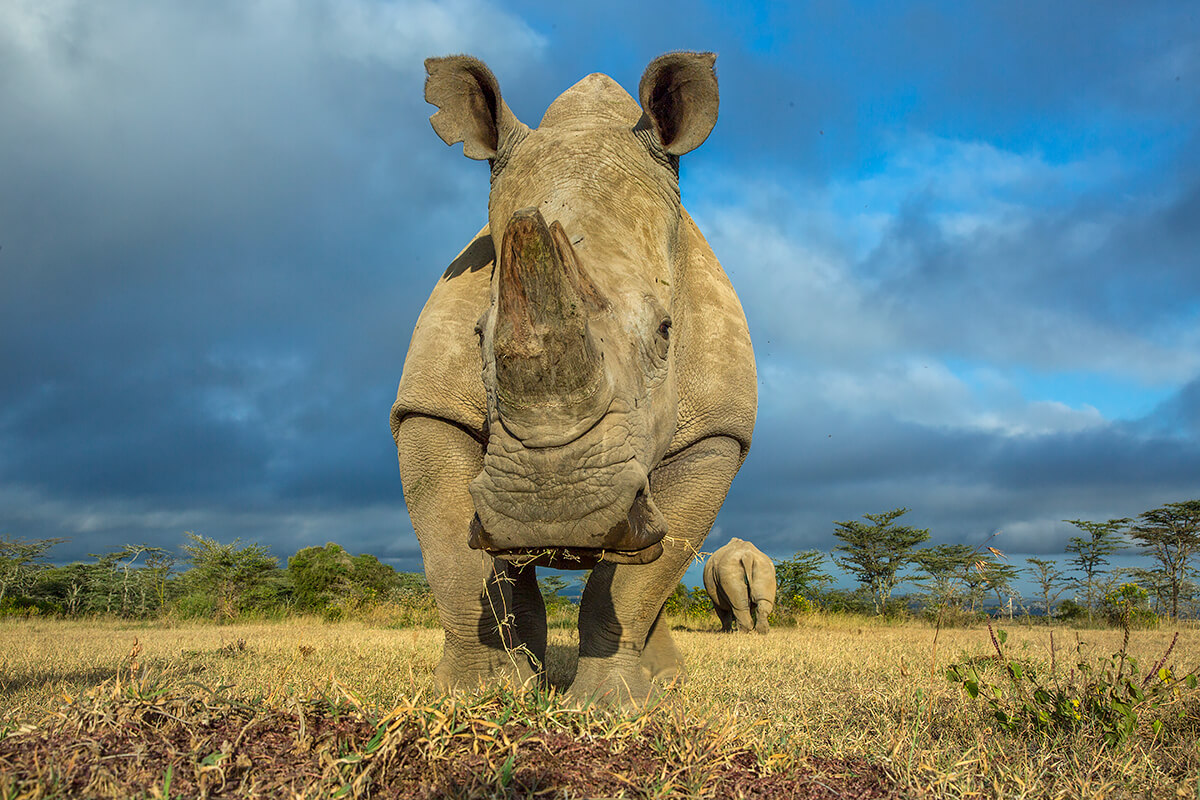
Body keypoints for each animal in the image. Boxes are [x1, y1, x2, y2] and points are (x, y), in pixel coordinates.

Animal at [388, 51, 753, 700]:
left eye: (667, 332)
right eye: (477, 336)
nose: (551, 510)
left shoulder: (717, 432)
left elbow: (635, 585)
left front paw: (613, 707)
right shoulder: (429, 408)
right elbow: (457, 561)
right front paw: (478, 697)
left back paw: (664, 684)